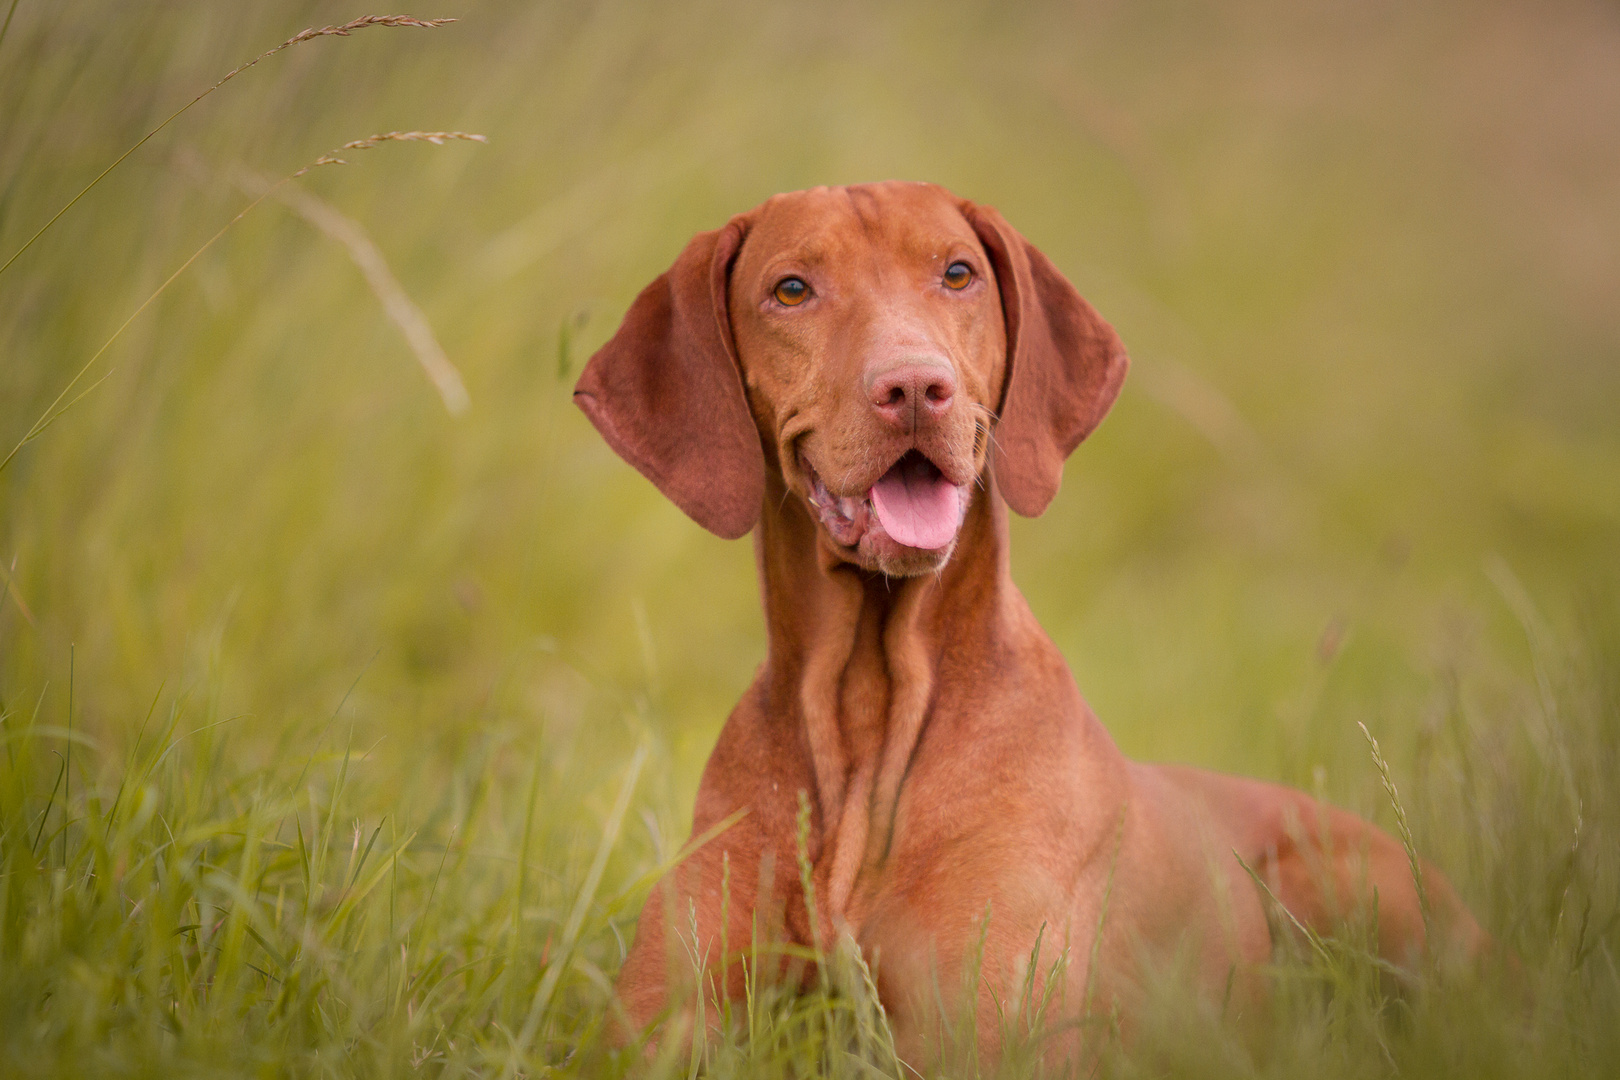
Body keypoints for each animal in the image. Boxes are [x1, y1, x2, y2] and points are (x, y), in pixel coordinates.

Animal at [573, 181, 1483, 1068]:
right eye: (791, 289)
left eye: (957, 273)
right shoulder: (655, 1035)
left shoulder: (983, 1038)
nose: (915, 388)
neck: (869, 712)